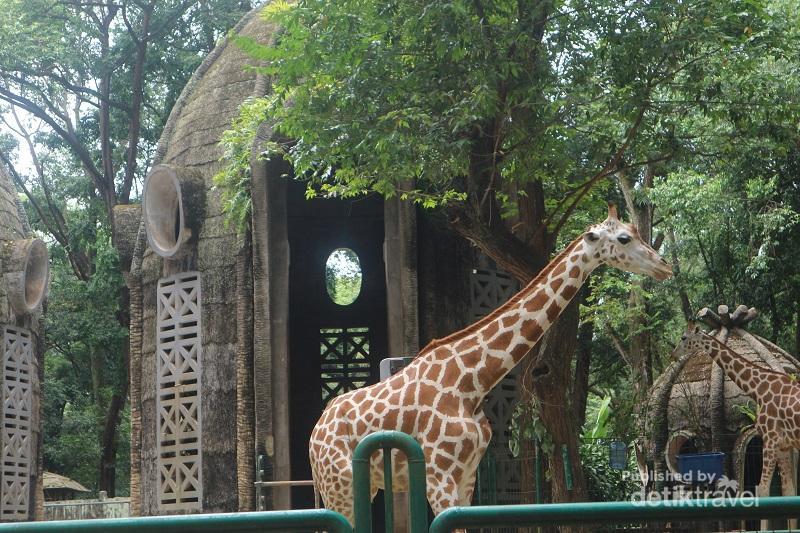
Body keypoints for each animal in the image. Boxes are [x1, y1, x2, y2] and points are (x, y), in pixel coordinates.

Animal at [310, 205, 672, 524]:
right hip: (339, 485)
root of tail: (316, 432)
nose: (665, 267)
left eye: (636, 231)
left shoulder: (467, 475)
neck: (472, 381)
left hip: (357, 485)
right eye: (624, 238)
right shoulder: (438, 476)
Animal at [676, 322, 800, 500]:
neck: (759, 389)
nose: (673, 355)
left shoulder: (770, 440)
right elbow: (789, 491)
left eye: (683, 337)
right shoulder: (783, 445)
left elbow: (763, 489)